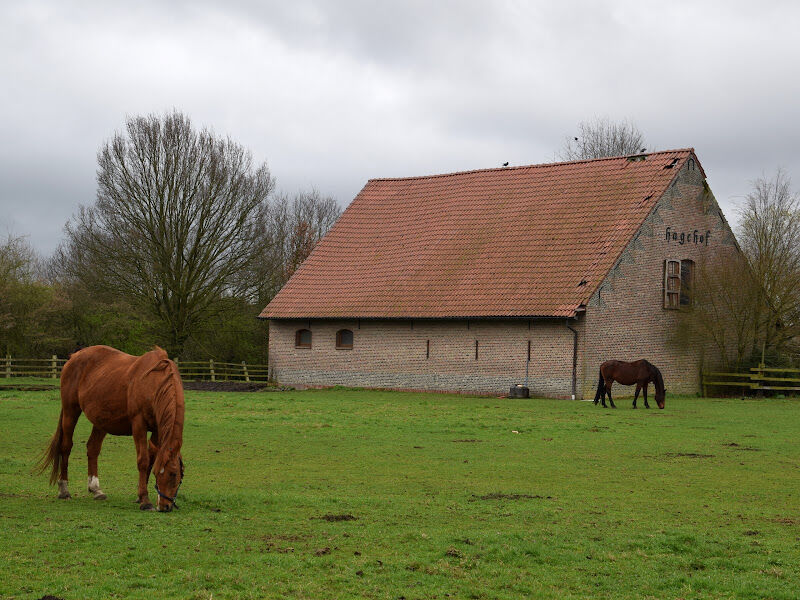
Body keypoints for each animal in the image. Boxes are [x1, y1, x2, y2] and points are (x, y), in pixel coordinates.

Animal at [40, 346, 186, 510]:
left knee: (92, 449)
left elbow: (150, 458)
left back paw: (96, 489)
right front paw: (145, 500)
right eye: (169, 474)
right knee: (66, 447)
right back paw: (64, 490)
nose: (164, 506)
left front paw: (140, 496)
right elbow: (143, 460)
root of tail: (73, 357)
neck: (154, 382)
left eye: (175, 474)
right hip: (70, 412)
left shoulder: (156, 428)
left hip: (101, 421)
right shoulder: (139, 425)